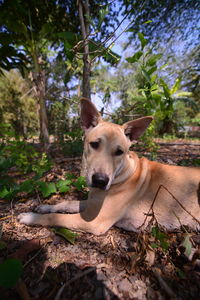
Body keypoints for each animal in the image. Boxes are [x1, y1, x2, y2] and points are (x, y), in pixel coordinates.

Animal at [18, 98, 199, 234]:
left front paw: (30, 217)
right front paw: (45, 206)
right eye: (94, 144)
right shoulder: (92, 203)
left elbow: (56, 217)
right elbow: (67, 203)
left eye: (119, 152)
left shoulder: (94, 220)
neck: (124, 173)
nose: (100, 180)